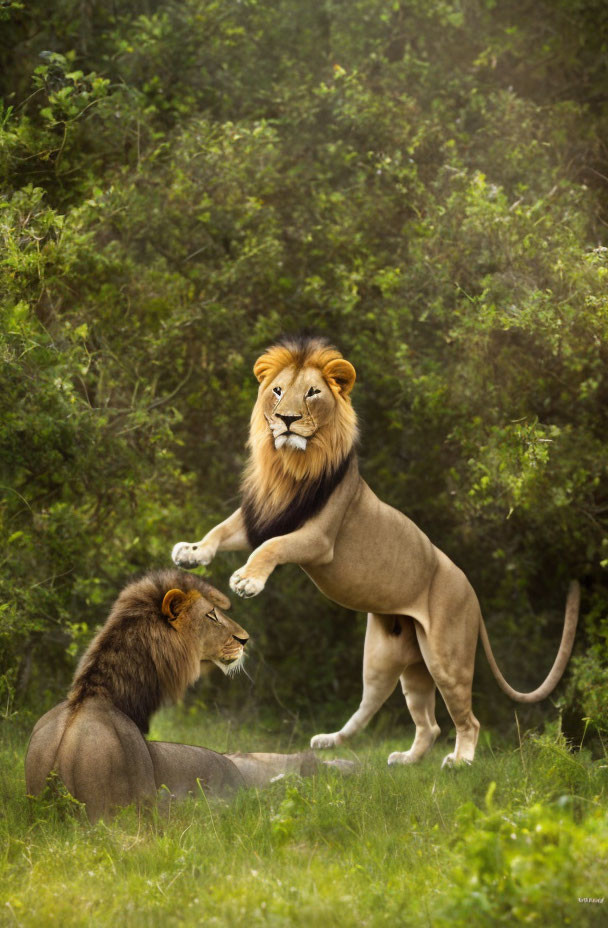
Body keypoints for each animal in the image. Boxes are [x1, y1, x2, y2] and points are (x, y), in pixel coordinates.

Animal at [172, 338, 580, 764]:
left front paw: (247, 580)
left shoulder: (318, 539)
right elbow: (222, 530)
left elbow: (272, 546)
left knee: (468, 720)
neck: (291, 465)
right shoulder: (267, 514)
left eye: (313, 393)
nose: (286, 419)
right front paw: (191, 552)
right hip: (389, 660)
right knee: (416, 719)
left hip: (446, 658)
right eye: (278, 391)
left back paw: (460, 761)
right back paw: (378, 753)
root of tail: (472, 594)